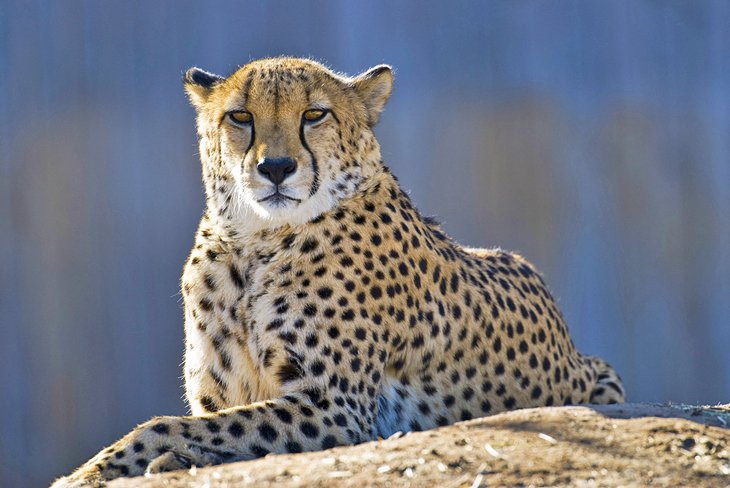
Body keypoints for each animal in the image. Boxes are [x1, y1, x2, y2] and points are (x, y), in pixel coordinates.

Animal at [51, 56, 624, 484]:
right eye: (241, 117)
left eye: (314, 115)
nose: (276, 168)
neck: (252, 243)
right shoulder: (225, 398)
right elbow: (196, 426)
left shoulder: (334, 405)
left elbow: (164, 427)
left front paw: (89, 472)